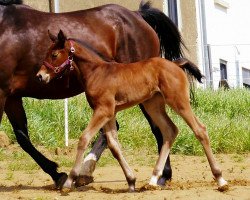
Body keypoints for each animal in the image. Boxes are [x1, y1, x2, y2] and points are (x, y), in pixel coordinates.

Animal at [0, 0, 184, 188]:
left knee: (158, 128)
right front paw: (58, 174)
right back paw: (86, 172)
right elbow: (22, 137)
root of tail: (137, 15)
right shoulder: (12, 97)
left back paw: (162, 176)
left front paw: (59, 174)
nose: (40, 76)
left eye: (54, 54)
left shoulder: (2, 93)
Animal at [36, 30, 229, 191]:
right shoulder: (109, 113)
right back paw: (153, 179)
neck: (97, 72)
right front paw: (131, 180)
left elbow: (84, 138)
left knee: (200, 129)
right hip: (153, 105)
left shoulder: (103, 110)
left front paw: (69, 181)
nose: (40, 76)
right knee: (170, 130)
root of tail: (176, 64)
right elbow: (114, 145)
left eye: (54, 54)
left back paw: (220, 179)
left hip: (178, 101)